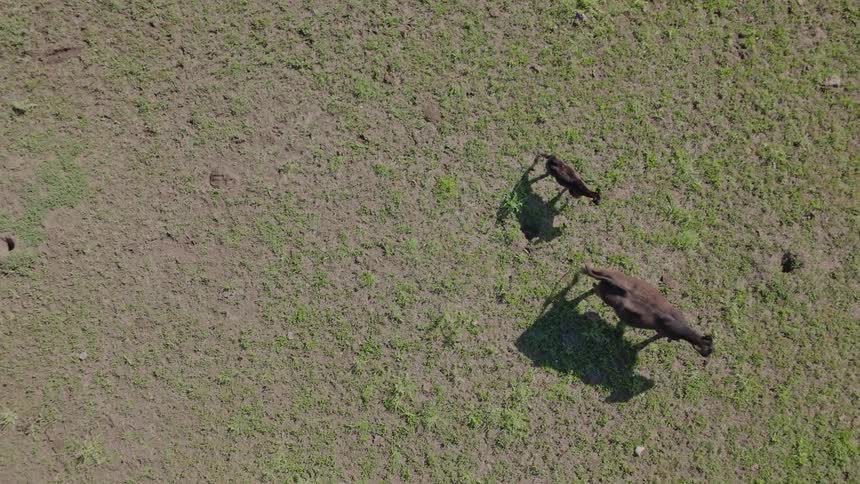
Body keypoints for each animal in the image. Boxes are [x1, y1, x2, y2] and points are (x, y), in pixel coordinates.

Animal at [583, 266, 713, 356]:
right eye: (707, 350)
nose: (706, 356)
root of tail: (614, 281)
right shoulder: (663, 332)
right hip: (605, 294)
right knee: (594, 287)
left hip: (607, 273)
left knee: (591, 276)